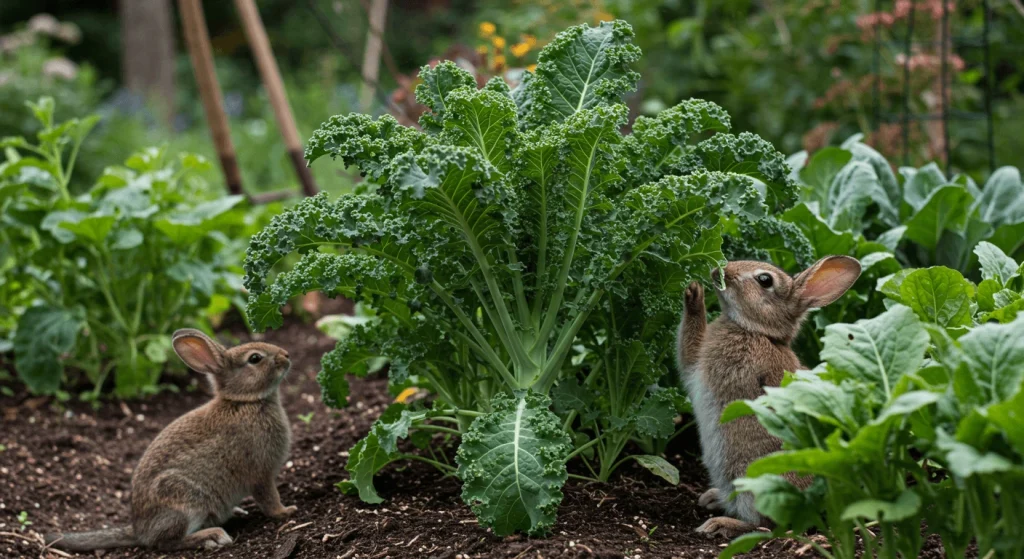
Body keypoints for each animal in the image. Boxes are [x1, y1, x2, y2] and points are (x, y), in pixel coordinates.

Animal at [46, 327, 299, 548]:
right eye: (255, 358)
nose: (286, 355)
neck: (245, 401)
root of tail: (139, 531)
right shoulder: (260, 472)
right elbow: (268, 497)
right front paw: (286, 511)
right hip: (185, 501)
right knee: (166, 543)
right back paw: (212, 536)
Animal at [679, 254, 864, 536]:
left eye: (765, 280)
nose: (719, 271)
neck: (758, 331)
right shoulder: (695, 366)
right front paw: (693, 290)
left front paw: (695, 295)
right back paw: (712, 498)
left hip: (752, 478)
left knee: (763, 524)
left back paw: (719, 523)